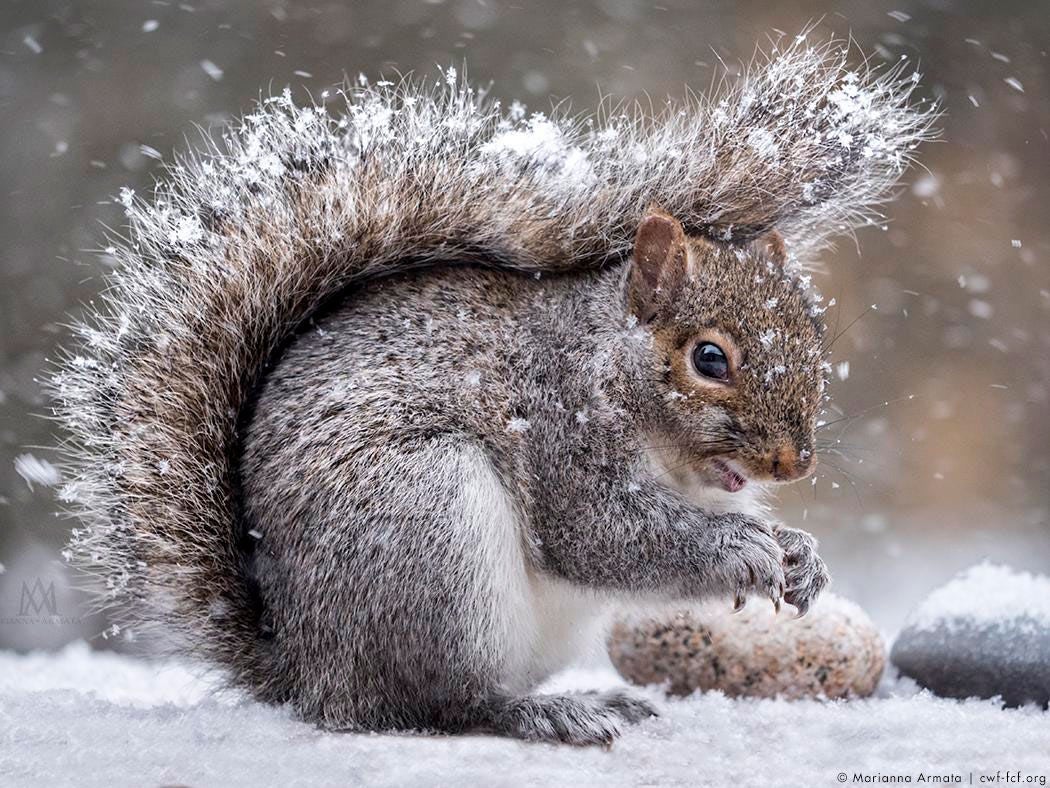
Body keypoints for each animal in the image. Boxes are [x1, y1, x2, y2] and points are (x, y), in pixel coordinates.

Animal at [50, 39, 934, 745]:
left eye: (815, 337)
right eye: (709, 358)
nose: (795, 463)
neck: (605, 367)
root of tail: (307, 669)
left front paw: (800, 554)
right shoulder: (556, 432)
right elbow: (602, 535)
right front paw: (739, 551)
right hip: (426, 527)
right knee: (441, 704)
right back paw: (546, 714)